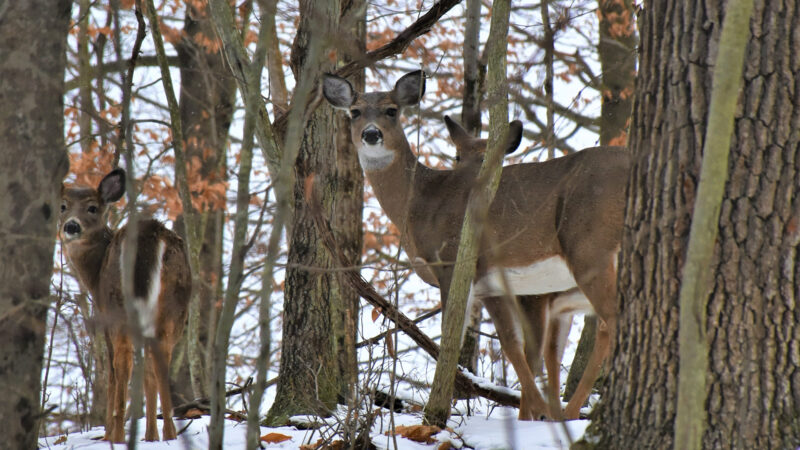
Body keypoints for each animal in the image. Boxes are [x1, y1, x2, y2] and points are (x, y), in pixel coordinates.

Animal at [58, 168, 191, 440]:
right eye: (63, 206)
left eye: (93, 208)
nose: (71, 226)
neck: (95, 275)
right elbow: (149, 375)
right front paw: (151, 437)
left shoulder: (106, 318)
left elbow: (111, 375)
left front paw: (109, 434)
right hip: (174, 308)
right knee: (159, 363)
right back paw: (169, 434)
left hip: (120, 308)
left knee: (123, 367)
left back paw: (117, 435)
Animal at [320, 69, 632, 418]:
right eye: (355, 111)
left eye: (392, 110)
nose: (371, 134)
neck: (423, 203)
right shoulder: (491, 285)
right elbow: (512, 346)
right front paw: (536, 412)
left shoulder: (454, 262)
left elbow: (451, 338)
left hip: (590, 247)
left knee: (612, 321)